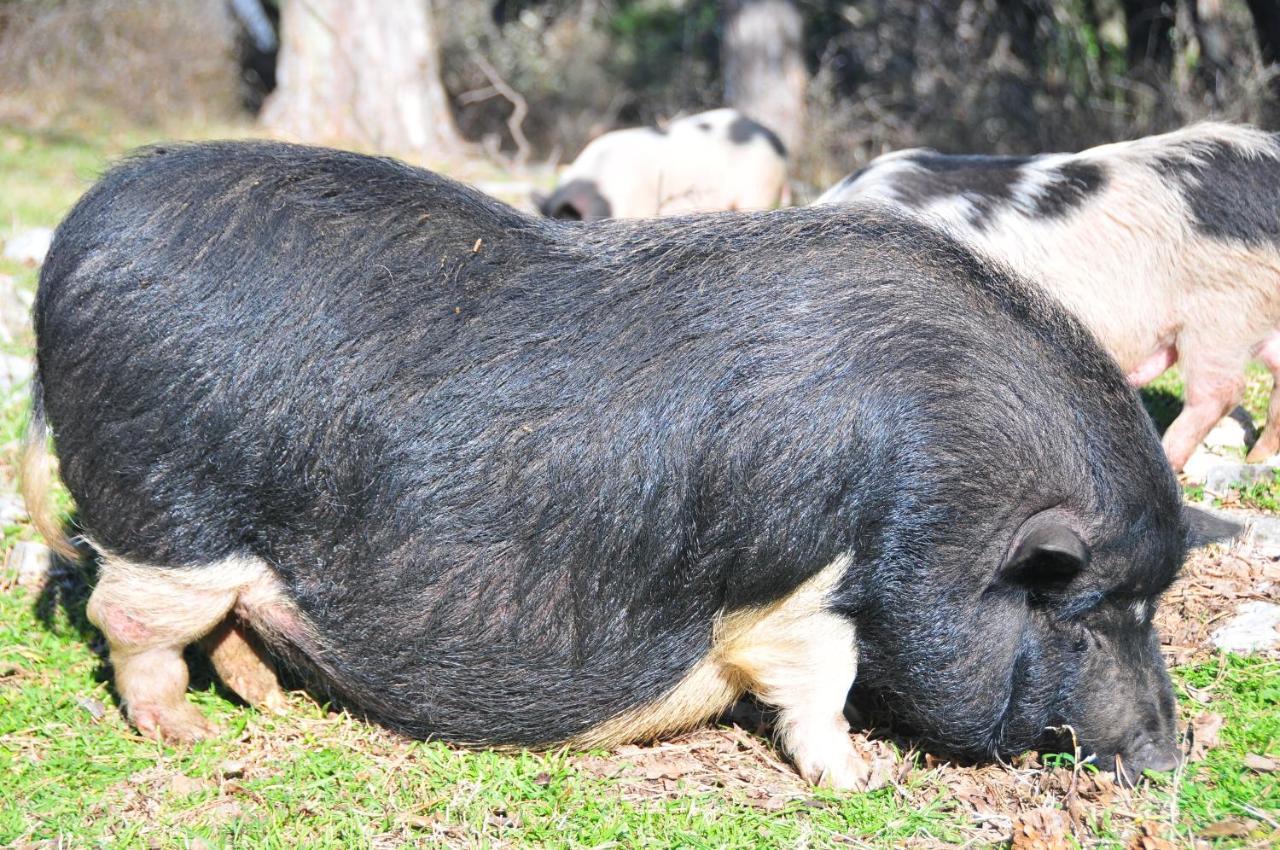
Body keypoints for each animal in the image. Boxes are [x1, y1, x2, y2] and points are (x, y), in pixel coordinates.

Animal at [30, 140, 1182, 788]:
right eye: (1088, 614)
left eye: (1150, 606)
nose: (1170, 756)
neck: (944, 494)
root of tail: (73, 242)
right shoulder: (797, 582)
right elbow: (815, 677)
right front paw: (859, 780)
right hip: (165, 509)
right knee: (127, 618)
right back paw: (183, 736)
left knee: (225, 619)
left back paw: (266, 704)